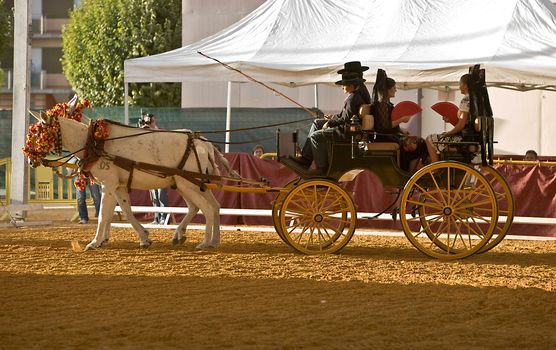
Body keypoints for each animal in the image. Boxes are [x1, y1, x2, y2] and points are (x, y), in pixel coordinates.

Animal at [27, 109, 235, 249]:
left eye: (38, 133)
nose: (29, 159)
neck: (94, 142)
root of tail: (203, 143)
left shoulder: (107, 184)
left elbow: (103, 214)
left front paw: (94, 242)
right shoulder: (117, 187)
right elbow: (124, 211)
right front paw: (143, 238)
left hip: (187, 184)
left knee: (206, 208)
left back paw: (205, 242)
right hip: (190, 185)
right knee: (210, 206)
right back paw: (207, 239)